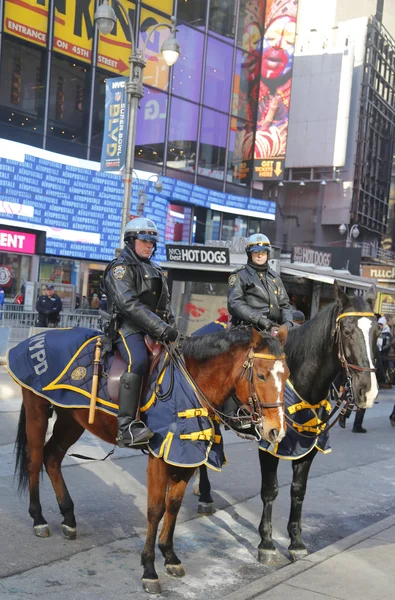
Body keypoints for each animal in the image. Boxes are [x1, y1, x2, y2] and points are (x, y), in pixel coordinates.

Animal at [13, 326, 290, 592]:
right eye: (261, 375)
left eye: (286, 375)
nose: (276, 431)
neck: (190, 384)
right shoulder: (161, 457)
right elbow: (156, 510)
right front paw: (149, 569)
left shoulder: (185, 457)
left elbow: (174, 505)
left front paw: (170, 555)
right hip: (38, 410)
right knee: (35, 459)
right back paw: (38, 519)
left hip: (72, 418)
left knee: (52, 457)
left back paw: (69, 518)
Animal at [196, 282, 378, 564]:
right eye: (347, 331)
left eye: (376, 333)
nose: (368, 392)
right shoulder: (270, 442)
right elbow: (270, 490)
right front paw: (267, 543)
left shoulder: (308, 446)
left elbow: (298, 491)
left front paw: (296, 542)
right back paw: (204, 495)